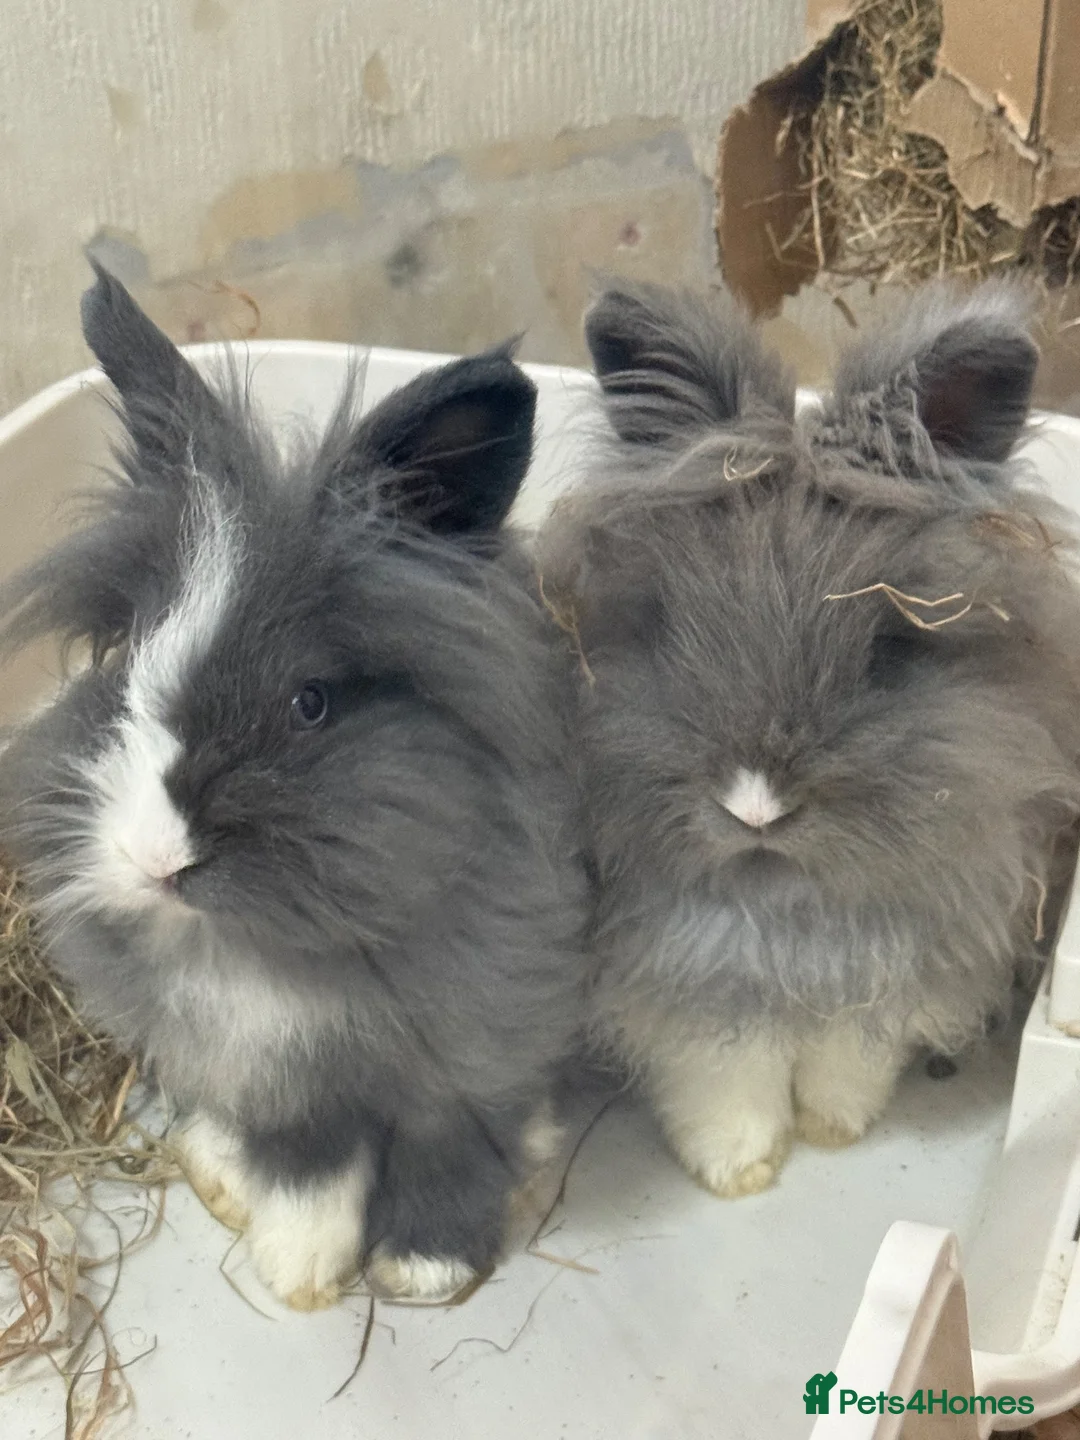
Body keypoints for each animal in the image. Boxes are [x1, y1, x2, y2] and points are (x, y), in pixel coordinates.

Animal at [0, 264, 589, 1308]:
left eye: (309, 704)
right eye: (123, 660)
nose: (155, 860)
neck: (279, 953)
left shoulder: (481, 1045)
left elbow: (453, 1146)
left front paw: (424, 1269)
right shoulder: (269, 1078)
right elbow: (306, 1163)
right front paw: (301, 1270)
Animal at [538, 279, 1080, 1200]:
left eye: (891, 649)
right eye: (665, 627)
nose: (755, 806)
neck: (790, 913)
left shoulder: (884, 981)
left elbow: (845, 1061)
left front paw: (832, 1129)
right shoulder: (686, 989)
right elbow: (728, 1084)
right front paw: (741, 1171)